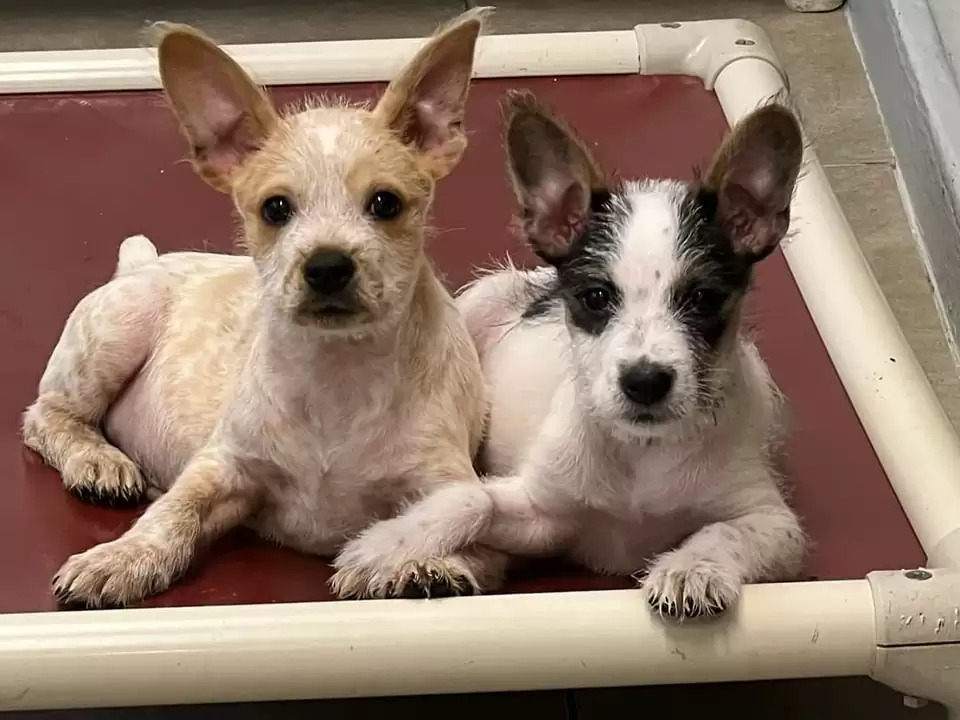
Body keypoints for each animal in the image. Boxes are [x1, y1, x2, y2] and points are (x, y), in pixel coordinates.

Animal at [22, 11, 502, 608]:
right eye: (276, 209)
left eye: (385, 203)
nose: (327, 265)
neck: (336, 374)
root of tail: (141, 261)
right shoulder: (221, 466)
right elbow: (172, 514)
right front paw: (121, 557)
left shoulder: (448, 485)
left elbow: (465, 530)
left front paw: (415, 564)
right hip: (115, 331)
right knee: (48, 415)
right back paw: (99, 461)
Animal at [446, 93, 808, 616]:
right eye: (596, 297)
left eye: (703, 299)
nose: (645, 382)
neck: (642, 451)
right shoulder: (541, 506)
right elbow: (476, 509)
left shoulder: (772, 521)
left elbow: (722, 534)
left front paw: (689, 569)